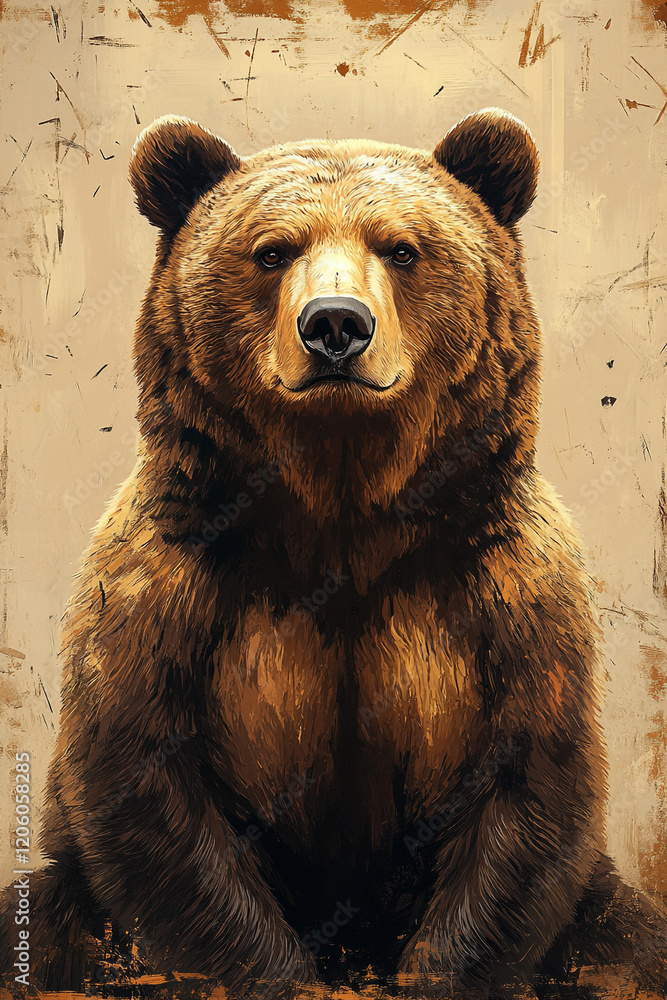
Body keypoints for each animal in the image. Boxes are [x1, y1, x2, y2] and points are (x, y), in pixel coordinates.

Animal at [2, 108, 667, 998]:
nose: (335, 325)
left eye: (402, 248)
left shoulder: (506, 595)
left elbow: (526, 792)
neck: (341, 514)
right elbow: (147, 789)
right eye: (272, 249)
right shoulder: (170, 584)